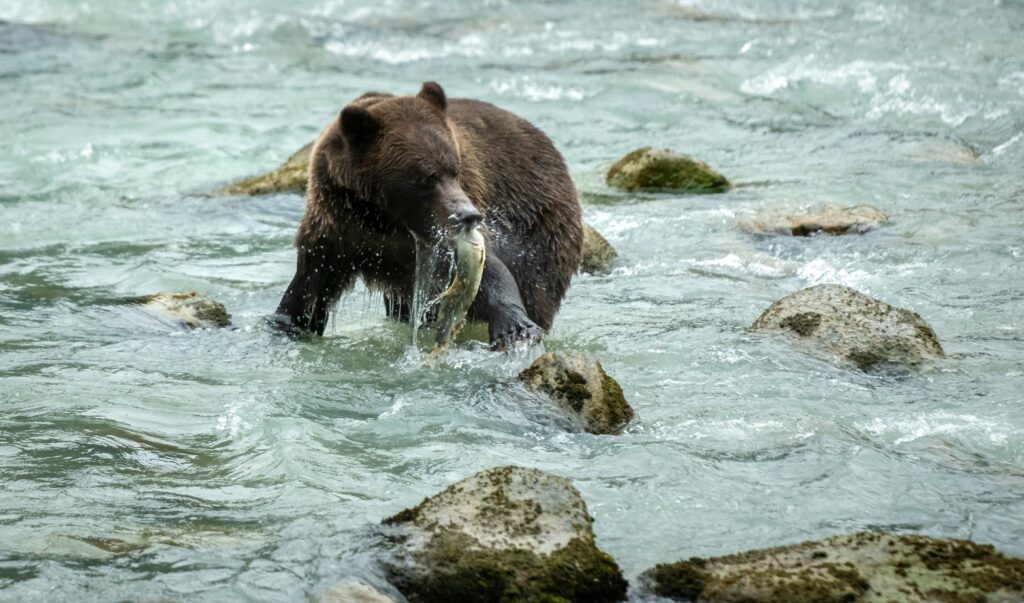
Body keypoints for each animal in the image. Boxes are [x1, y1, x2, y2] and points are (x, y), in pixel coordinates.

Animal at [275, 82, 582, 349]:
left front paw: (515, 327)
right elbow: (311, 285)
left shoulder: (441, 235)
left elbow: (488, 271)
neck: (383, 218)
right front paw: (287, 321)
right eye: (426, 177)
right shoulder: (338, 229)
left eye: (455, 169)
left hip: (540, 230)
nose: (469, 215)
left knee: (536, 285)